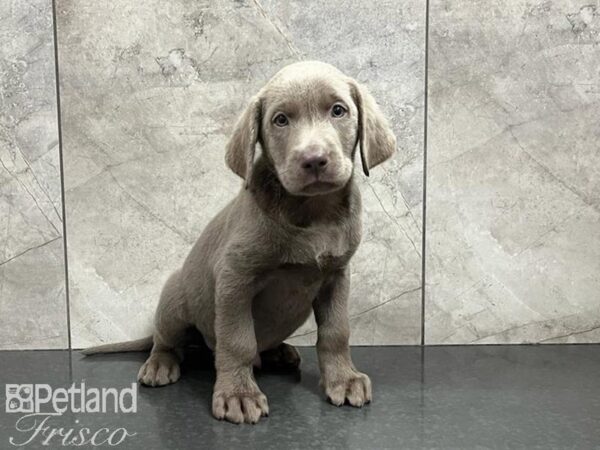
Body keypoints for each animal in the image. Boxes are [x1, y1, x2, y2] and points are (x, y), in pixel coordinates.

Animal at [82, 61, 396, 424]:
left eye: (338, 110)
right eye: (280, 120)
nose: (314, 159)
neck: (312, 213)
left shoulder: (336, 276)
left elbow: (336, 333)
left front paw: (343, 379)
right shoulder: (235, 279)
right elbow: (237, 340)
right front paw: (239, 394)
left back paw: (278, 353)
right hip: (175, 300)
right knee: (168, 341)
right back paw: (160, 364)